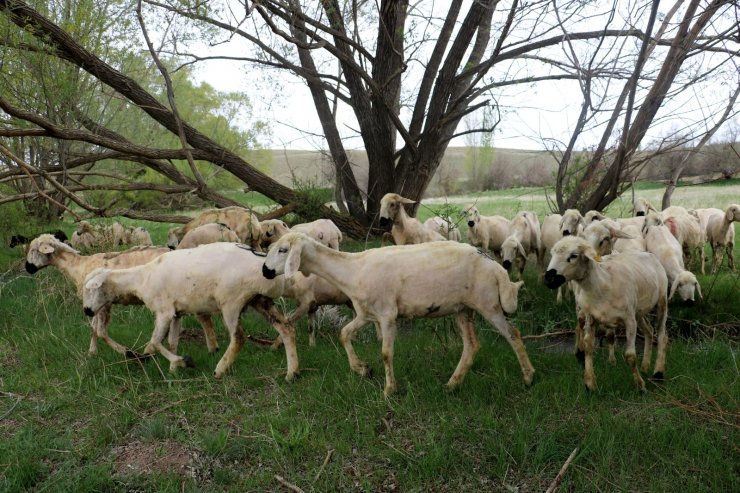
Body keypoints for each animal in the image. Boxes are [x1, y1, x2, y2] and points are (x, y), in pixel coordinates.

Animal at [23, 233, 220, 356]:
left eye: (33, 250)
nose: (28, 268)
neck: (77, 266)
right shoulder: (95, 304)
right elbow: (93, 328)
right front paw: (92, 352)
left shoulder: (102, 303)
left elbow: (101, 331)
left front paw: (127, 352)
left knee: (203, 317)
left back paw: (212, 348)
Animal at [82, 240, 300, 378]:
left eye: (91, 289)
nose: (87, 311)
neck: (141, 279)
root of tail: (264, 263)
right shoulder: (176, 313)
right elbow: (171, 342)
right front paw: (173, 369)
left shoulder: (164, 311)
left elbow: (155, 342)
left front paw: (183, 362)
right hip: (260, 300)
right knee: (287, 328)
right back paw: (292, 372)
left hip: (231, 302)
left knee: (238, 337)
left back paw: (219, 370)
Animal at [264, 232, 536, 396]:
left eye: (284, 250)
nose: (265, 271)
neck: (352, 269)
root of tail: (494, 266)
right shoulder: (365, 314)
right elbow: (344, 334)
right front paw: (361, 369)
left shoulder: (387, 314)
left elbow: (386, 353)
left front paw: (389, 389)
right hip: (462, 309)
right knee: (472, 345)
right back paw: (452, 384)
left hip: (488, 303)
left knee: (513, 334)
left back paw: (529, 377)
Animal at [544, 236, 672, 390]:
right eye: (552, 254)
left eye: (573, 256)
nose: (548, 279)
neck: (601, 285)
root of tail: (648, 254)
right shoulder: (591, 318)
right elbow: (588, 347)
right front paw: (590, 384)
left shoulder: (629, 320)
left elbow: (630, 355)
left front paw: (640, 385)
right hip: (639, 310)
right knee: (649, 330)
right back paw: (645, 366)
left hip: (661, 301)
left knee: (662, 336)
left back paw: (658, 373)